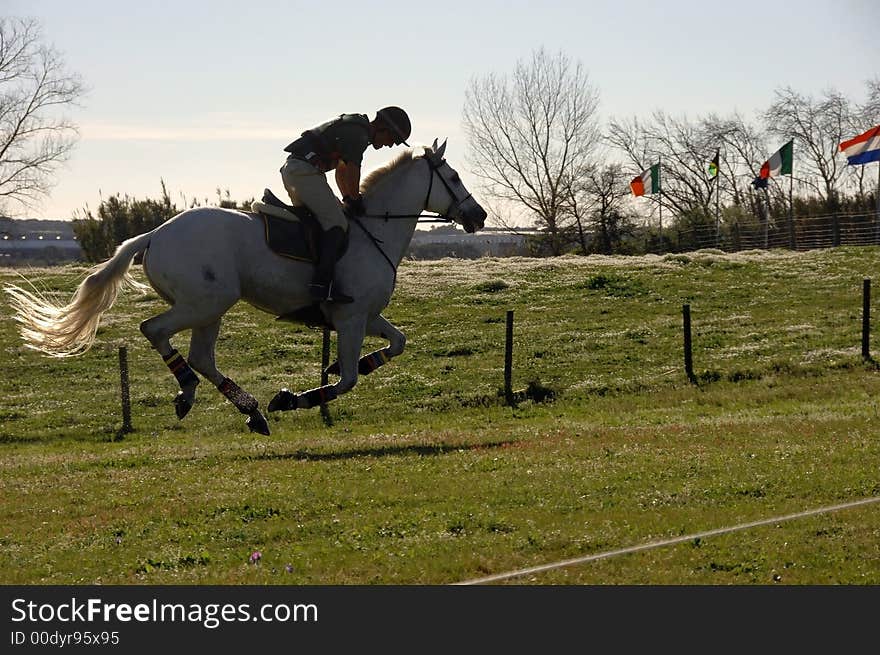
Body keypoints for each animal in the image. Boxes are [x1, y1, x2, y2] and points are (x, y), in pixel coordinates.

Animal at [3, 140, 488, 436]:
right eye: (455, 178)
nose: (479, 216)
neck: (376, 232)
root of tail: (155, 235)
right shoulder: (350, 318)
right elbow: (347, 379)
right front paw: (292, 399)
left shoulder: (364, 316)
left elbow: (396, 344)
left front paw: (336, 369)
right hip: (205, 303)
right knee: (155, 330)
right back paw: (196, 394)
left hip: (210, 309)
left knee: (201, 356)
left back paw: (249, 411)